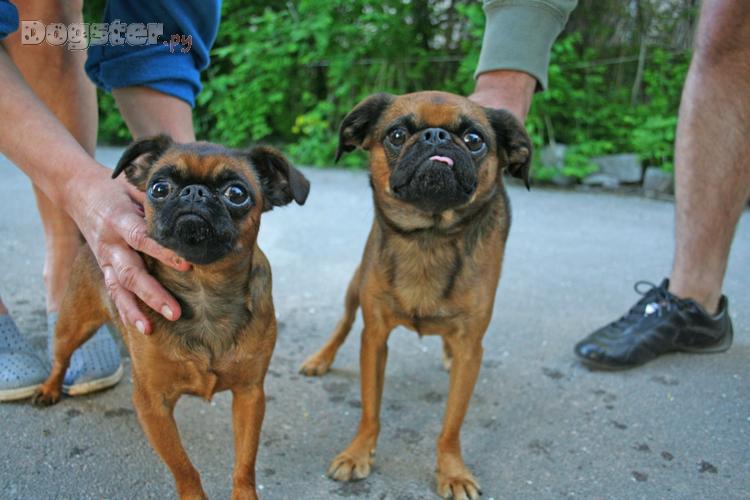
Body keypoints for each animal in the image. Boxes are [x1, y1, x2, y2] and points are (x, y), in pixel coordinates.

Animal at [32, 136, 310, 500]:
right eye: (159, 188)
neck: (203, 289)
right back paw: (49, 389)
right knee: (61, 357)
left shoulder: (250, 396)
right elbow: (184, 468)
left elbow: (245, 463)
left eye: (237, 193)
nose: (194, 192)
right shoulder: (152, 404)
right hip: (73, 324)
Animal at [299, 91, 531, 499]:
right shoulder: (374, 338)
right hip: (354, 287)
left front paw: (452, 471)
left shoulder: (472, 349)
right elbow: (370, 409)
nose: (436, 136)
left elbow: (451, 424)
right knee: (342, 325)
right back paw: (320, 359)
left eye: (474, 139)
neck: (429, 237)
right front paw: (358, 453)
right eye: (396, 134)